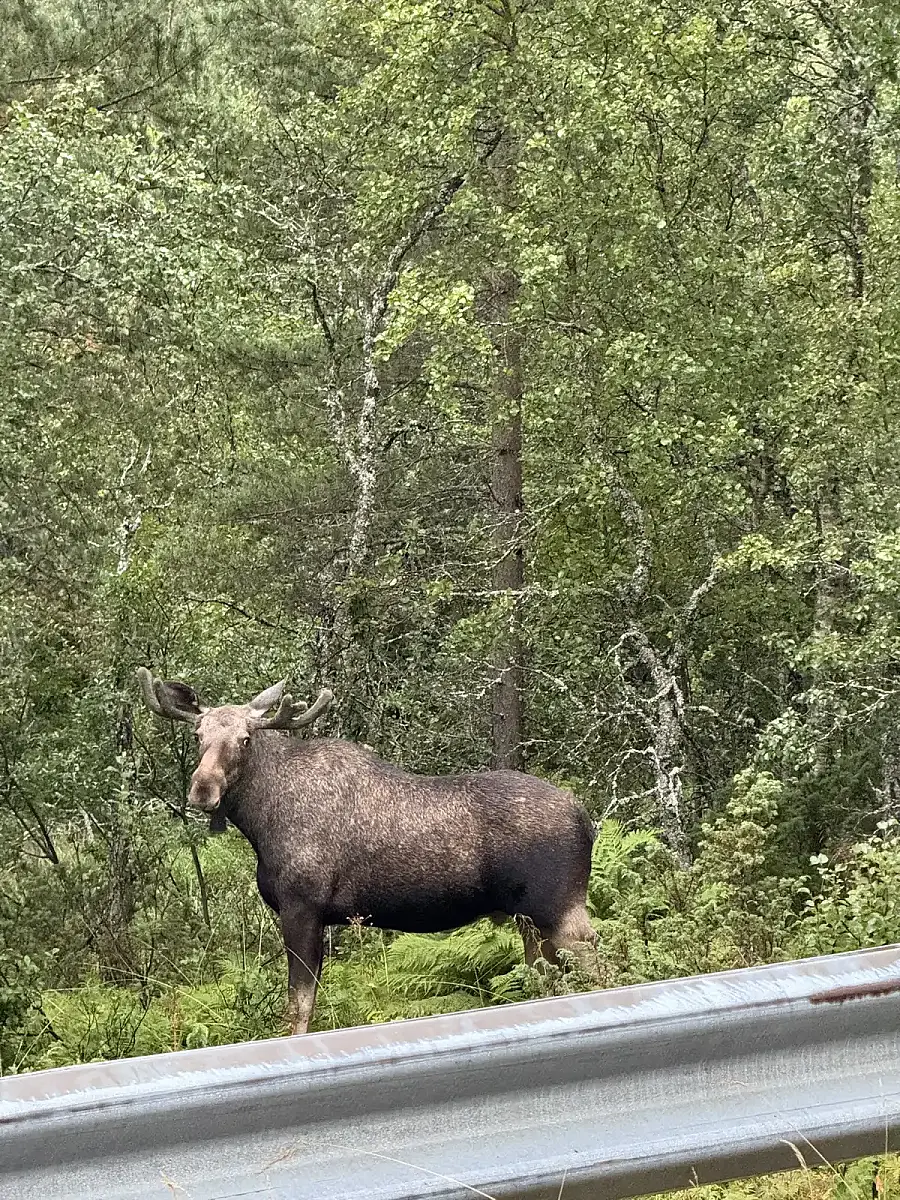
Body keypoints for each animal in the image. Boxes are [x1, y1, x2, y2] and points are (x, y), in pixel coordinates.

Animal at [136, 667, 599, 1035]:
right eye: (198, 735)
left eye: (246, 739)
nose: (203, 789)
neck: (260, 821)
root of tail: (585, 819)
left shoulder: (302, 906)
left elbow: (298, 1008)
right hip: (530, 919)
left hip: (557, 908)